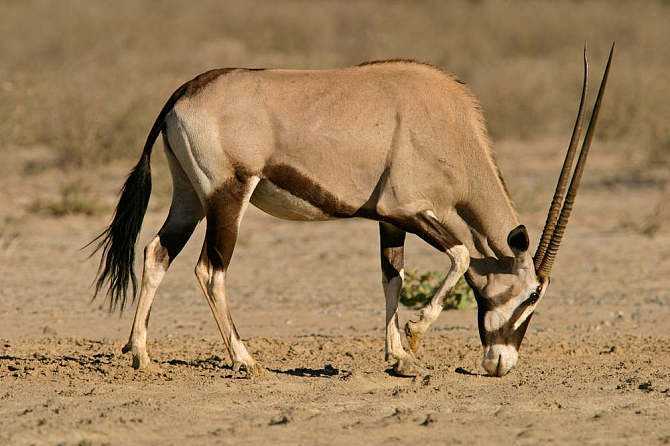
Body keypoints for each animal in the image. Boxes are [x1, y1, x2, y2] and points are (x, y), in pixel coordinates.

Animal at [92, 44, 616, 376]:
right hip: (228, 195)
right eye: (531, 296)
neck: (448, 126)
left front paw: (399, 357)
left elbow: (392, 277)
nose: (501, 365)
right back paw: (245, 359)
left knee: (157, 253)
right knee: (209, 268)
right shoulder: (409, 210)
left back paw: (141, 355)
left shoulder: (388, 220)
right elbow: (462, 255)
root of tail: (183, 93)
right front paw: (415, 335)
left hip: (189, 197)